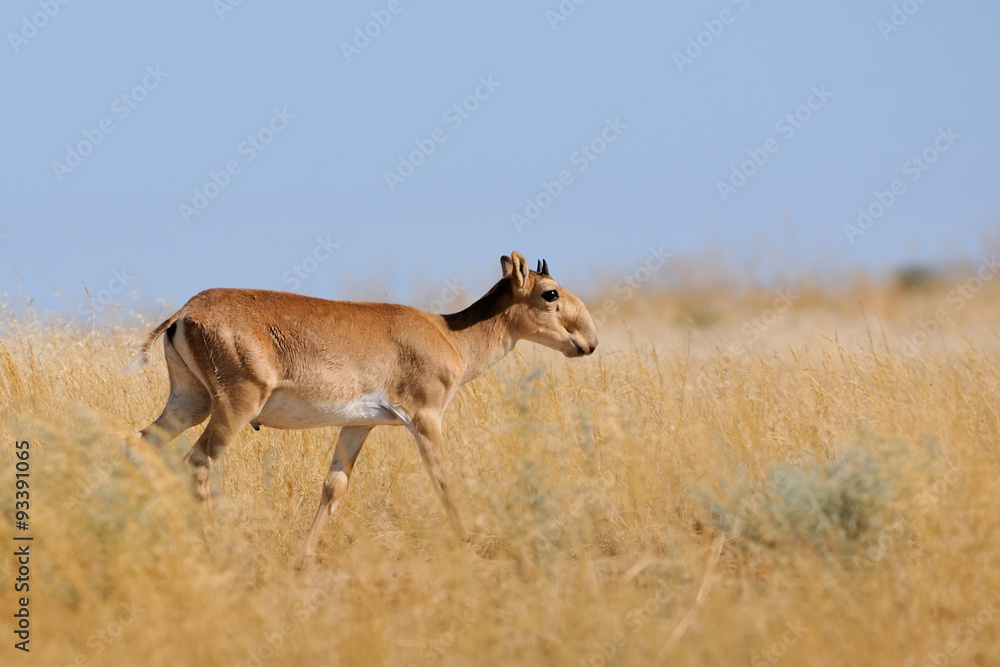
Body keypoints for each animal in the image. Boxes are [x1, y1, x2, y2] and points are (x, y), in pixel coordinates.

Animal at [128, 252, 598, 566]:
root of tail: (187, 311)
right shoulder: (425, 419)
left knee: (142, 443)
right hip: (233, 408)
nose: (589, 342)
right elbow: (443, 479)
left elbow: (334, 486)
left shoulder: (357, 427)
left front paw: (303, 556)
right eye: (550, 293)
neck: (449, 333)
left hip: (190, 404)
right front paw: (468, 543)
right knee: (197, 463)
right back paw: (214, 548)